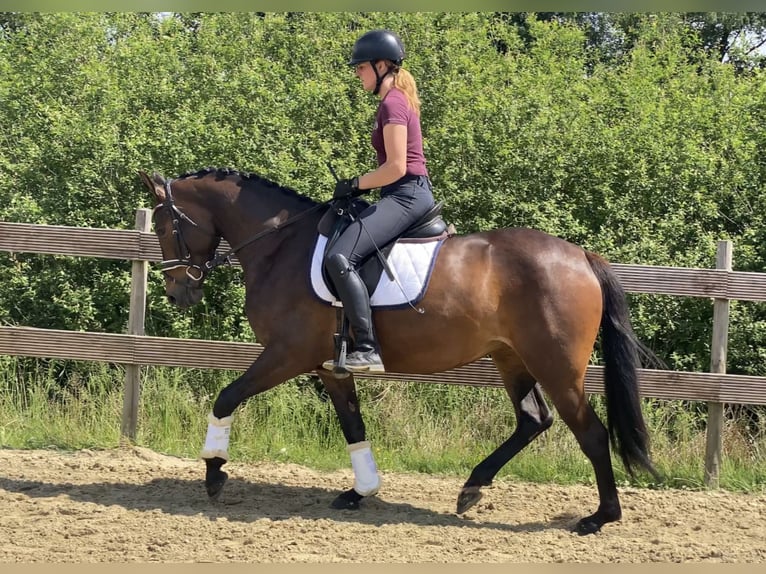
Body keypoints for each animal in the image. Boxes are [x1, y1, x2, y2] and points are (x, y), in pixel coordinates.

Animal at [141, 168, 664, 540]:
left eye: (164, 224)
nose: (177, 292)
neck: (280, 246)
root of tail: (581, 257)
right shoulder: (329, 367)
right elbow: (353, 426)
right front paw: (360, 491)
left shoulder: (286, 354)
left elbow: (227, 397)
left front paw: (213, 473)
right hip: (511, 358)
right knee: (533, 420)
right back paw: (472, 488)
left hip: (555, 365)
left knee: (590, 433)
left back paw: (599, 518)